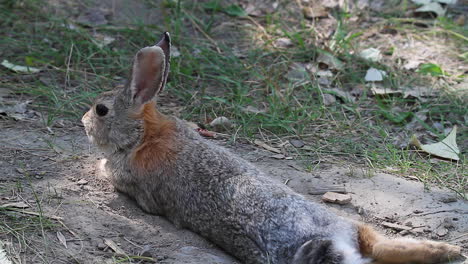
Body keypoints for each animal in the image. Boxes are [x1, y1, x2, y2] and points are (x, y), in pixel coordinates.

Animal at [82, 33, 462, 264]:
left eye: (102, 110)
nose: (84, 120)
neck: (143, 134)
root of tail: (333, 244)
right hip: (350, 225)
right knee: (383, 244)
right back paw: (448, 249)